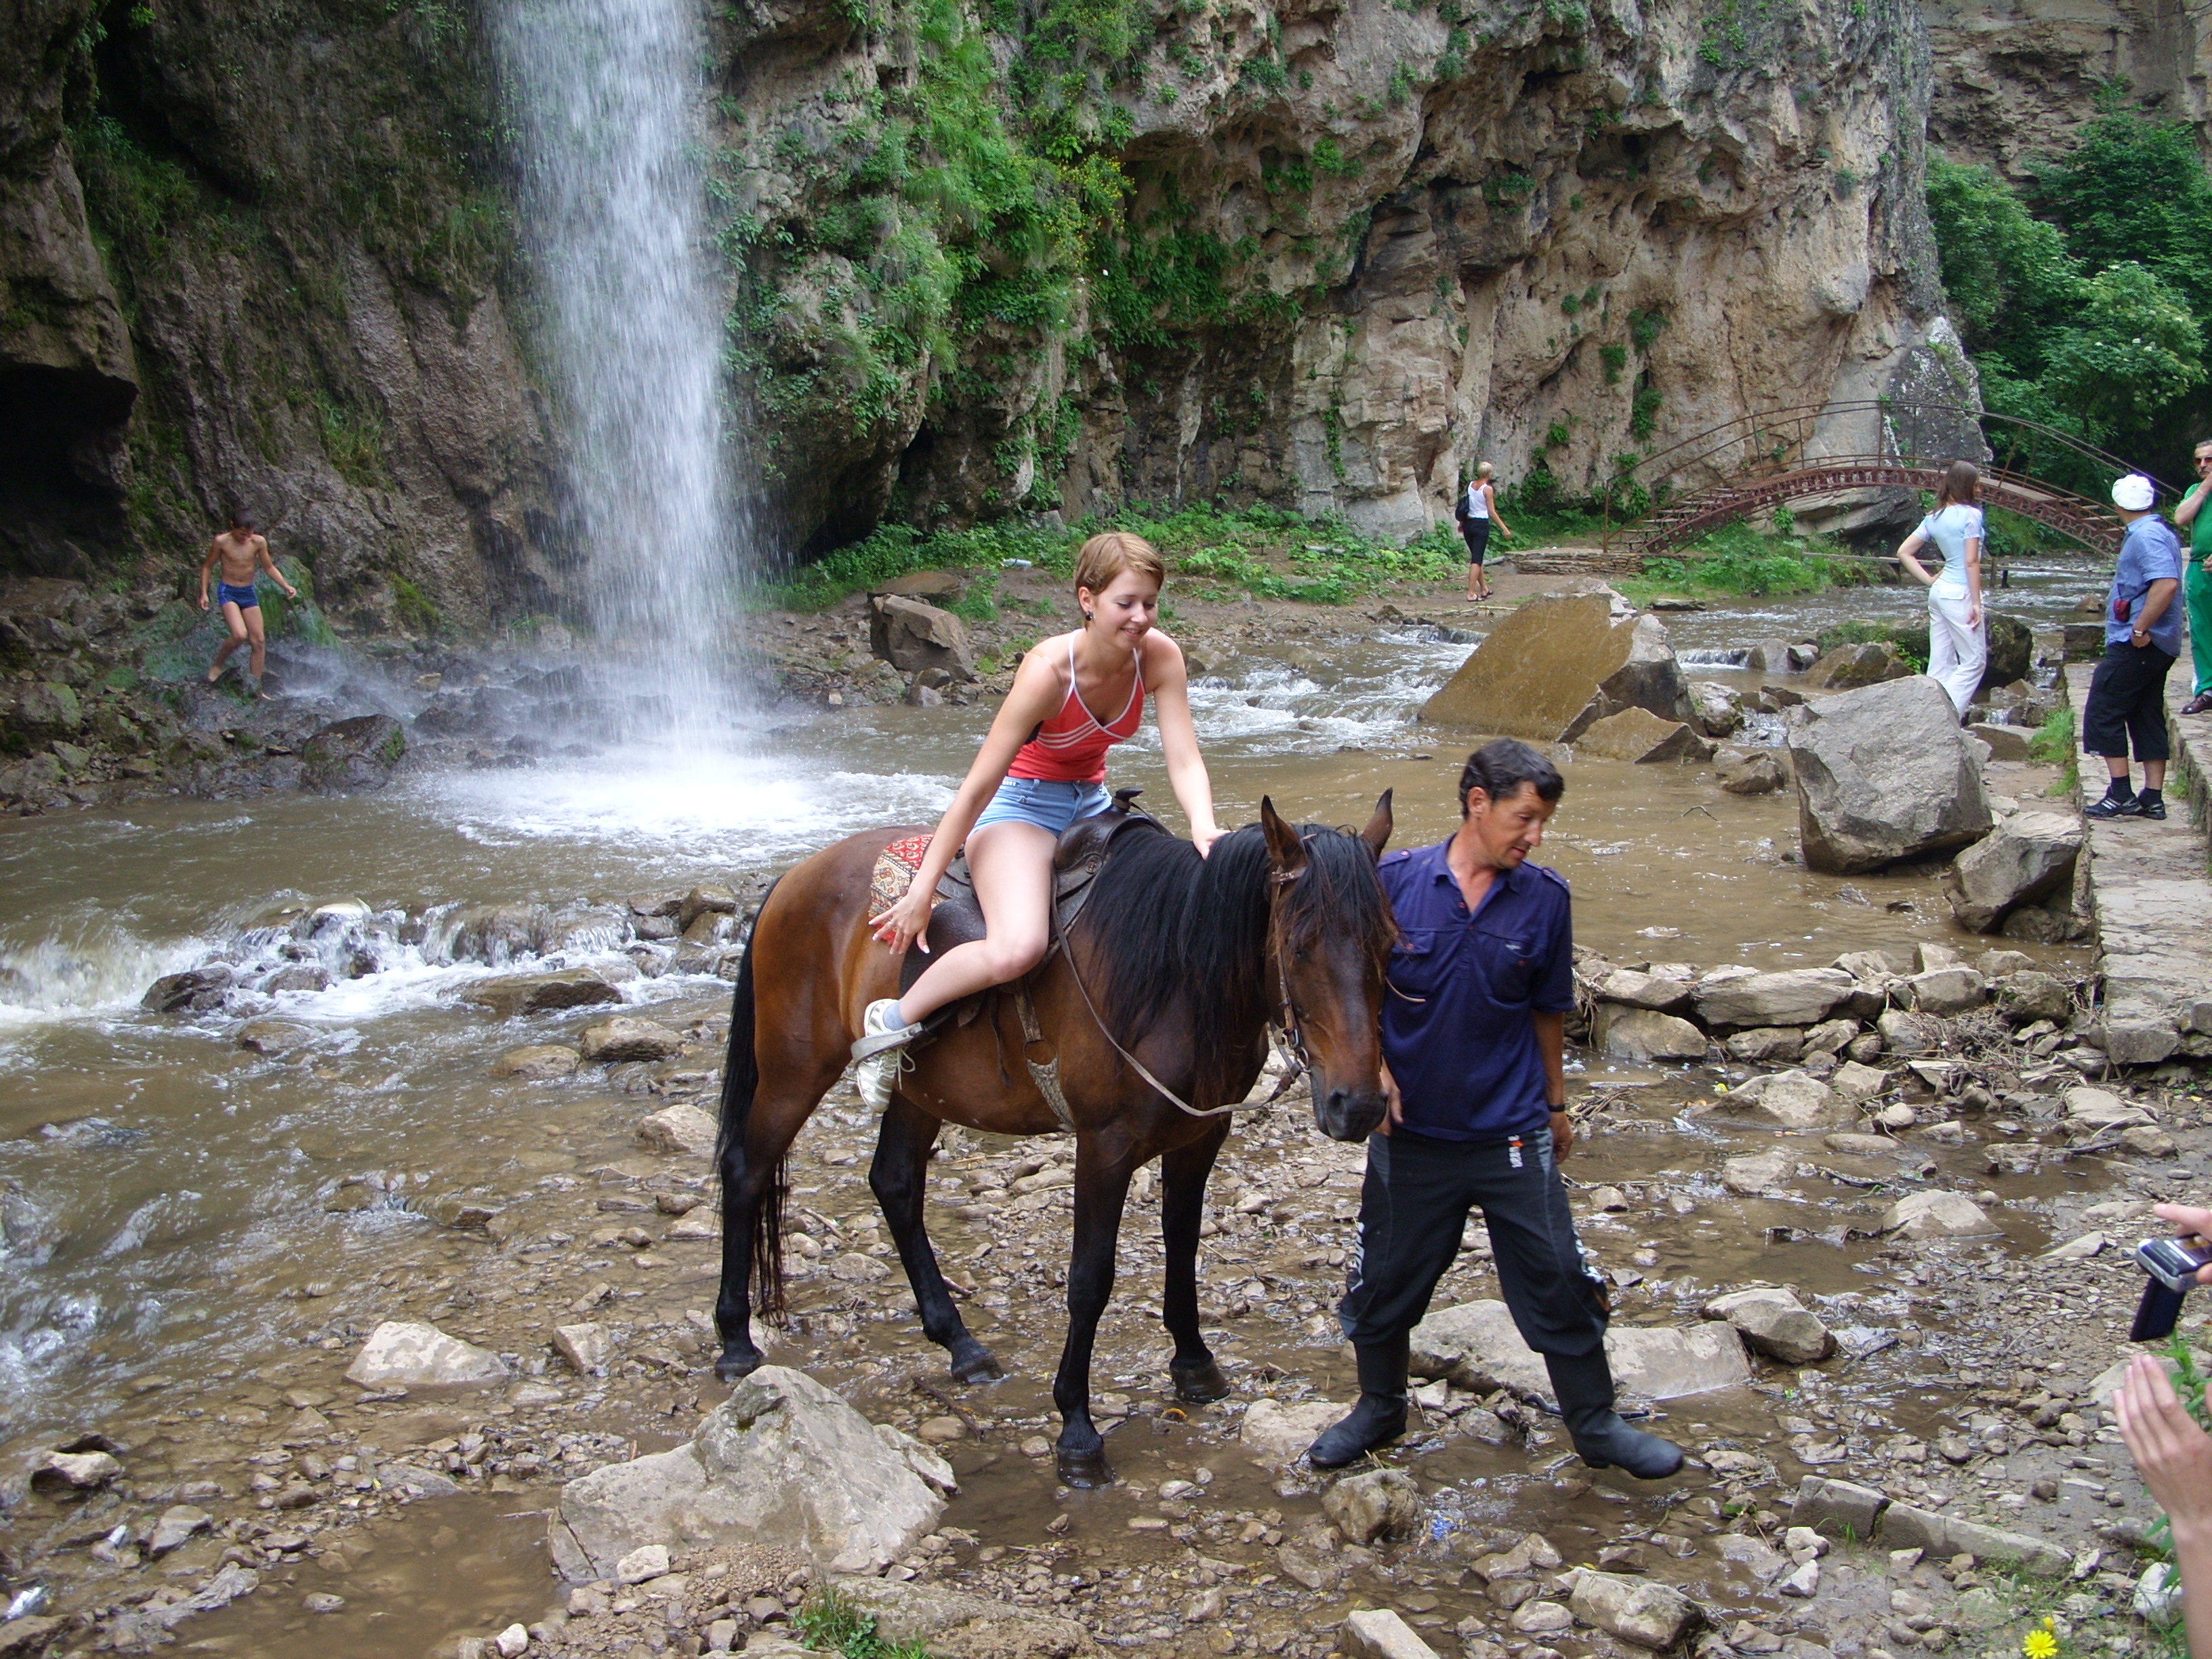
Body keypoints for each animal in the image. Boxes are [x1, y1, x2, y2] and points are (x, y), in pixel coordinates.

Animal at [716, 792, 1389, 1477]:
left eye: (1389, 941)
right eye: (1300, 947)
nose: (1358, 1105)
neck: (1172, 976)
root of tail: (795, 878)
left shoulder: (1201, 1134)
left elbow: (1182, 1245)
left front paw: (1195, 1364)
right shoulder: (1105, 1146)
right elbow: (1089, 1279)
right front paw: (1078, 1430)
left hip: (919, 1092)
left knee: (895, 1185)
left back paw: (961, 1344)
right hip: (794, 1070)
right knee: (746, 1171)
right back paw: (736, 1341)